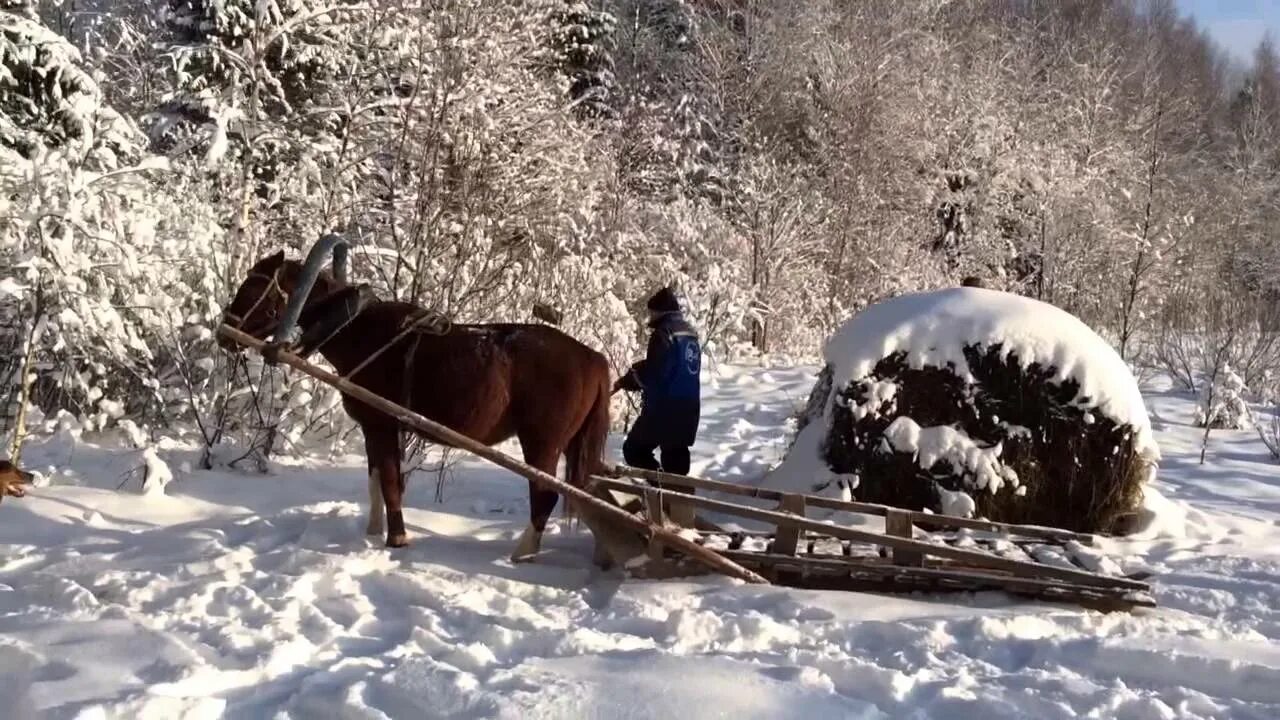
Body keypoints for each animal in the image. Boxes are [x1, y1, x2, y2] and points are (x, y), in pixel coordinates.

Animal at [217, 243, 611, 558]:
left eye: (255, 287)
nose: (224, 334)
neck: (358, 330)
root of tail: (592, 356)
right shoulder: (372, 428)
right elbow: (376, 480)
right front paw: (372, 532)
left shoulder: (382, 424)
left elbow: (391, 482)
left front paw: (397, 539)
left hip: (542, 443)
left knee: (545, 495)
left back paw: (523, 553)